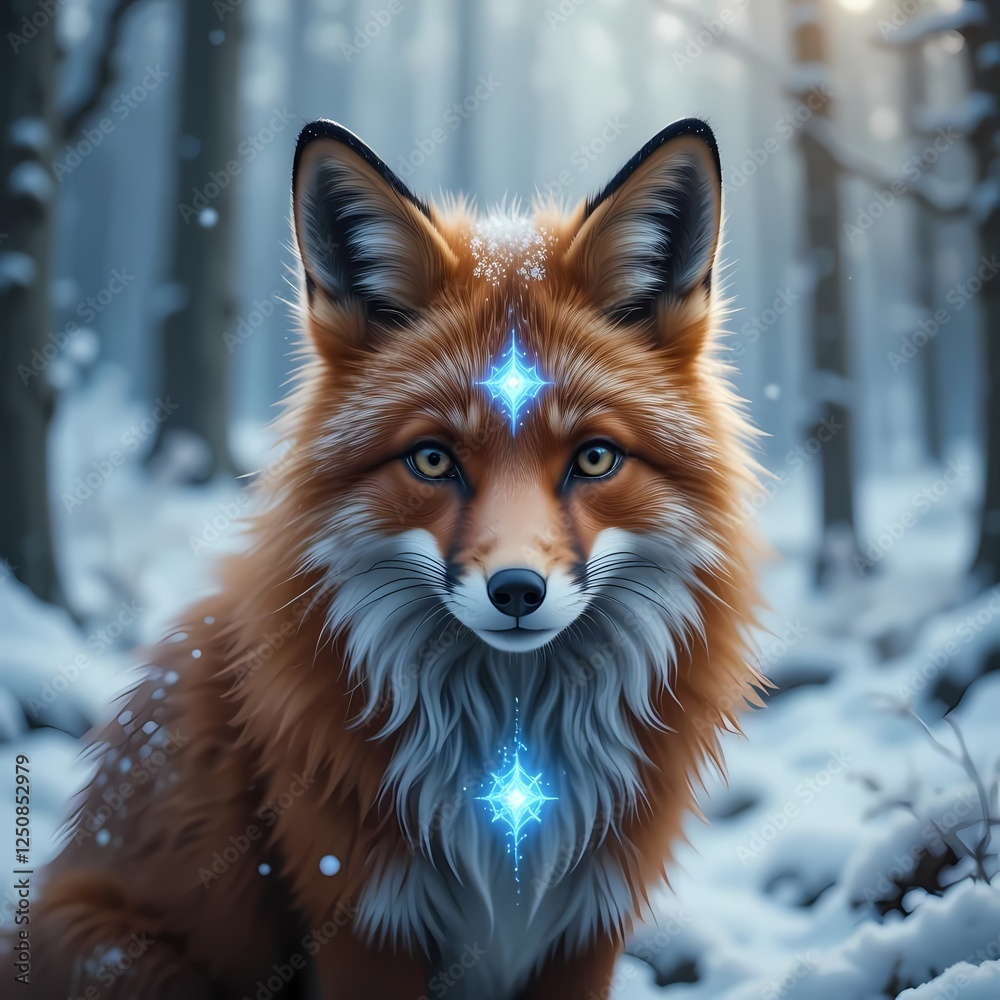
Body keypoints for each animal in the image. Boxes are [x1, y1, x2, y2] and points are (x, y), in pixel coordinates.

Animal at [11, 117, 764, 1000]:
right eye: (433, 460)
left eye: (595, 459)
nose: (516, 591)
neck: (511, 787)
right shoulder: (363, 914)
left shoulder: (587, 929)